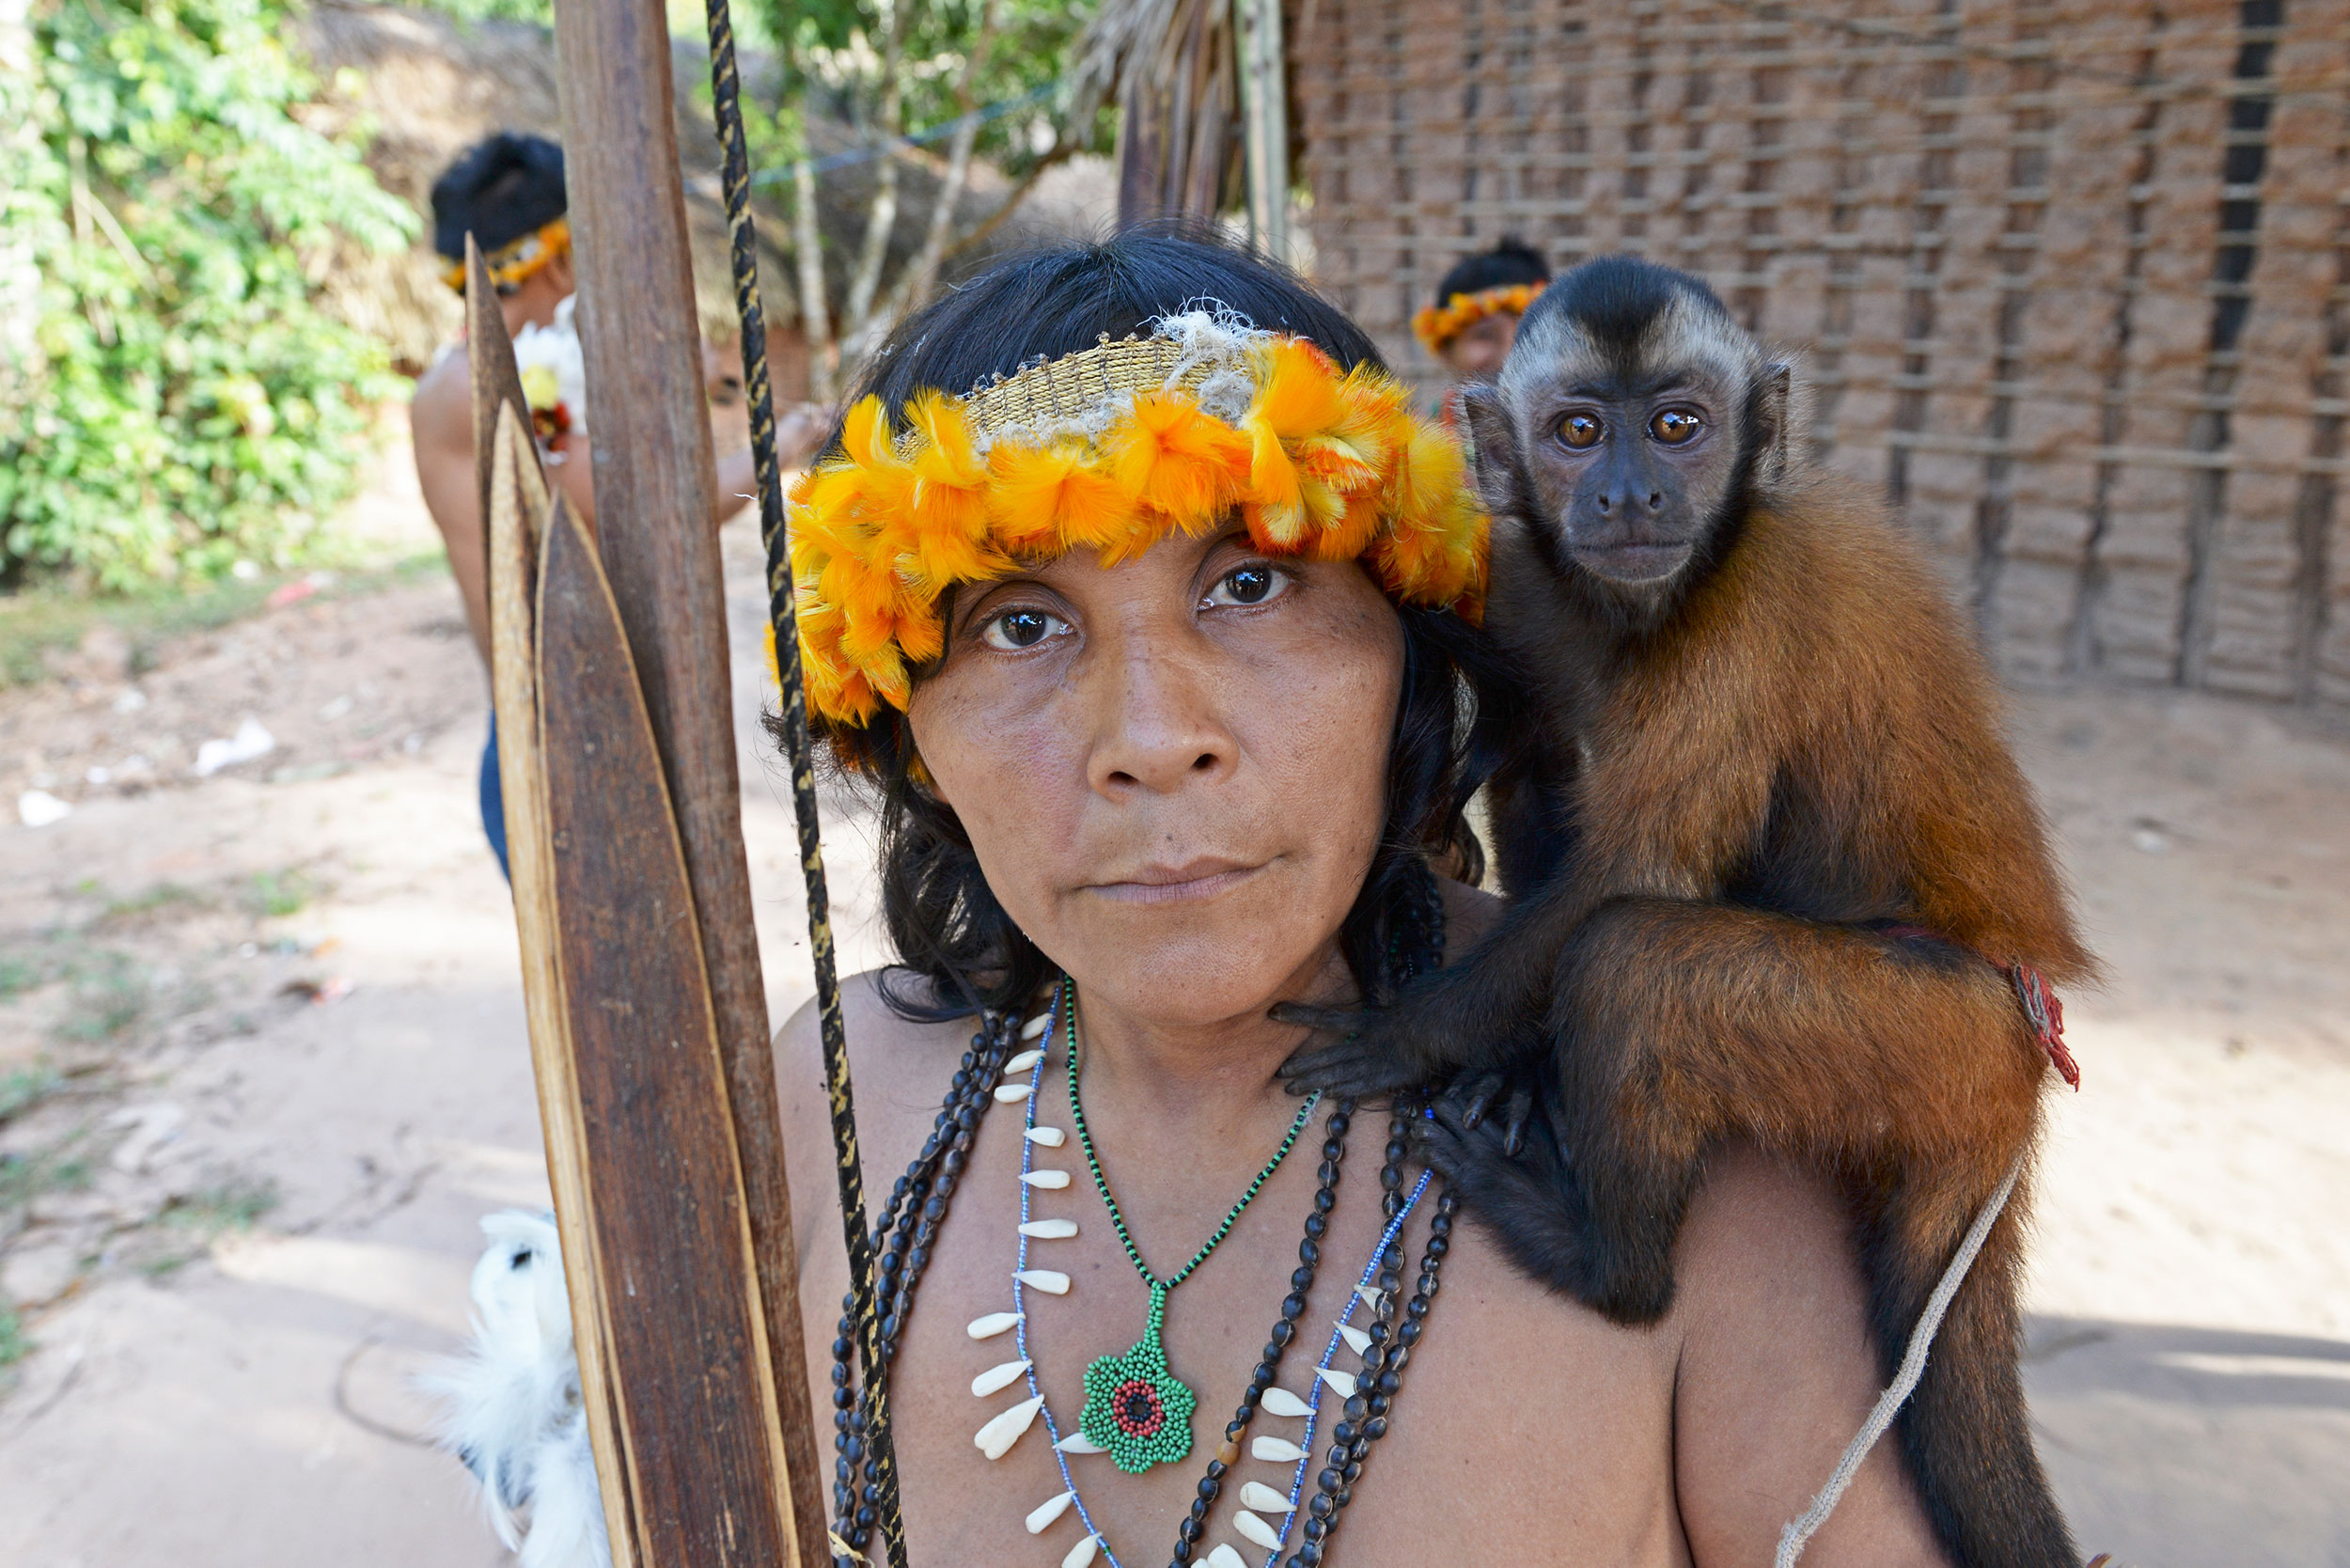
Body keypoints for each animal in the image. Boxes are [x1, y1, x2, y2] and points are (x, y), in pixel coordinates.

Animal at [1288, 257, 2096, 1568]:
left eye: (1678, 426)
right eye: (1576, 433)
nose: (1629, 491)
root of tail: (2026, 1050)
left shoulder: (1743, 608)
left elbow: (1638, 875)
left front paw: (1412, 1037)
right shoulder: (1526, 573)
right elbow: (1531, 750)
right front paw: (1500, 1037)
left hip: (1936, 1046)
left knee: (1637, 963)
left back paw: (1607, 1268)